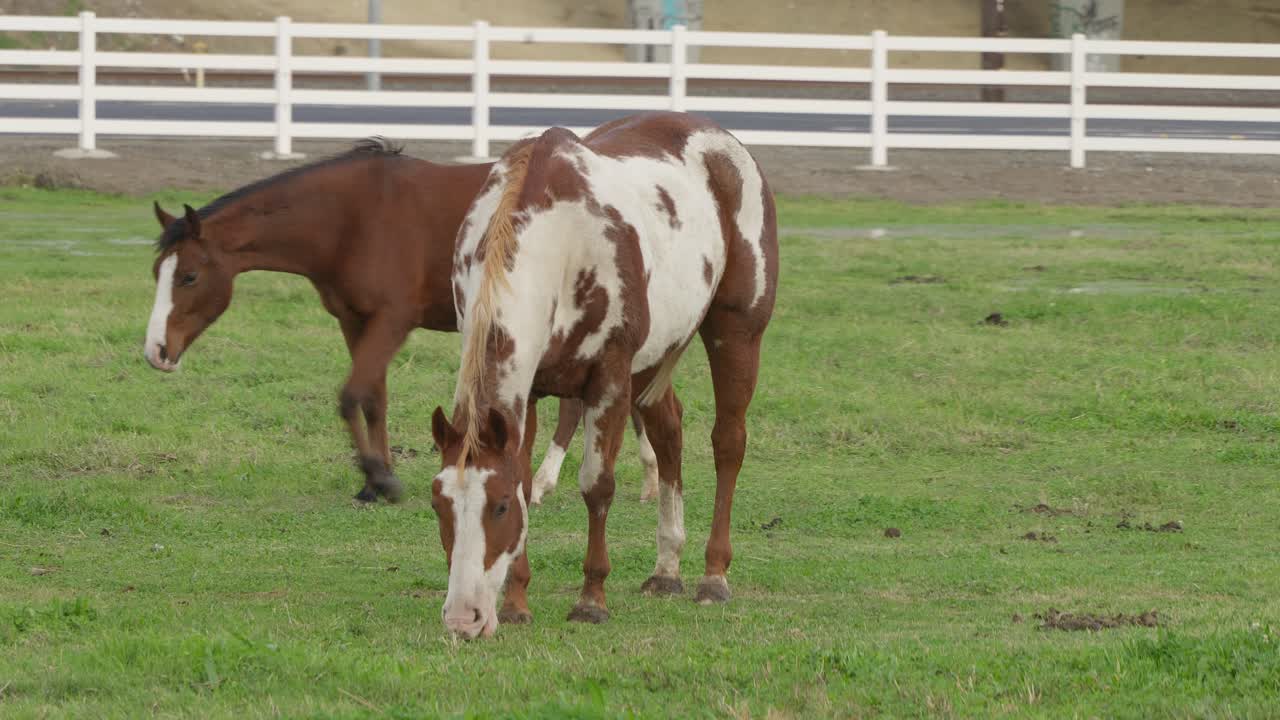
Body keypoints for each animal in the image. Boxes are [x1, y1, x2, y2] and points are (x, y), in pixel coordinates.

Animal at [141, 139, 659, 503]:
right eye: (157, 272)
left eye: (188, 275)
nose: (156, 352)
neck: (352, 218)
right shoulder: (355, 322)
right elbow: (374, 399)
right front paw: (376, 478)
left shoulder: (392, 322)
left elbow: (350, 395)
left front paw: (379, 476)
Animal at [428, 112, 778, 639]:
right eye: (439, 503)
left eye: (500, 506)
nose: (462, 618)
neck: (560, 238)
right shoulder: (528, 390)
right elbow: (529, 476)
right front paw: (516, 602)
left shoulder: (609, 378)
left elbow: (597, 485)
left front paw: (591, 599)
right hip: (653, 363)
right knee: (668, 431)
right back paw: (666, 567)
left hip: (736, 335)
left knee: (728, 444)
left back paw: (713, 575)